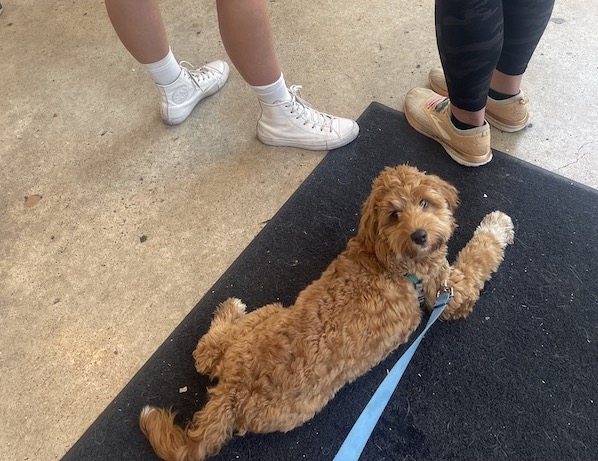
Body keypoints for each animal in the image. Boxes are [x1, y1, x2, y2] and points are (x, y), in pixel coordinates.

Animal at [139, 164, 516, 458]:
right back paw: (232, 308)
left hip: (259, 325)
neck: (387, 260)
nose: (420, 235)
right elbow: (480, 255)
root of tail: (232, 392)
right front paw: (497, 224)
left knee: (205, 354)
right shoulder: (449, 292)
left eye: (425, 202)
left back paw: (227, 314)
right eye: (394, 215)